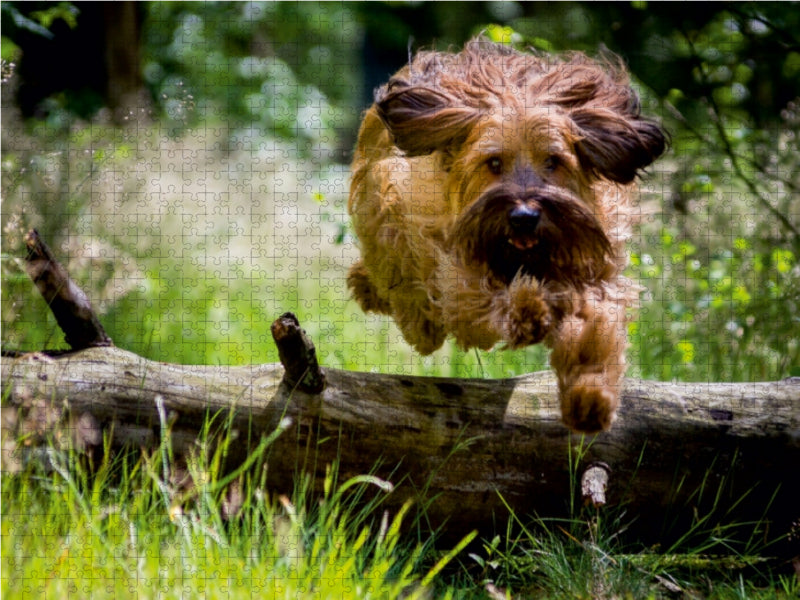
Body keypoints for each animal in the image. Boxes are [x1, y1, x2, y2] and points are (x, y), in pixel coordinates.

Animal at [346, 38, 664, 432]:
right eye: (494, 162)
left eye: (553, 161)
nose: (524, 218)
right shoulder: (454, 266)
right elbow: (481, 296)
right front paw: (528, 309)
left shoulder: (593, 268)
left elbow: (594, 322)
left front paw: (590, 399)